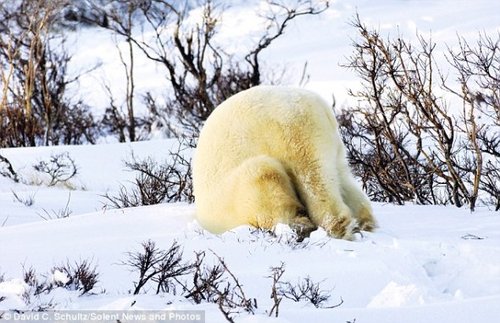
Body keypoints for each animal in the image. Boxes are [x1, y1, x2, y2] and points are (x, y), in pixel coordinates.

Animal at [193, 86, 376, 240]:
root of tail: (321, 108)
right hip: (329, 144)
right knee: (341, 177)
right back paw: (364, 221)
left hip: (290, 135)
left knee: (303, 175)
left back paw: (333, 226)